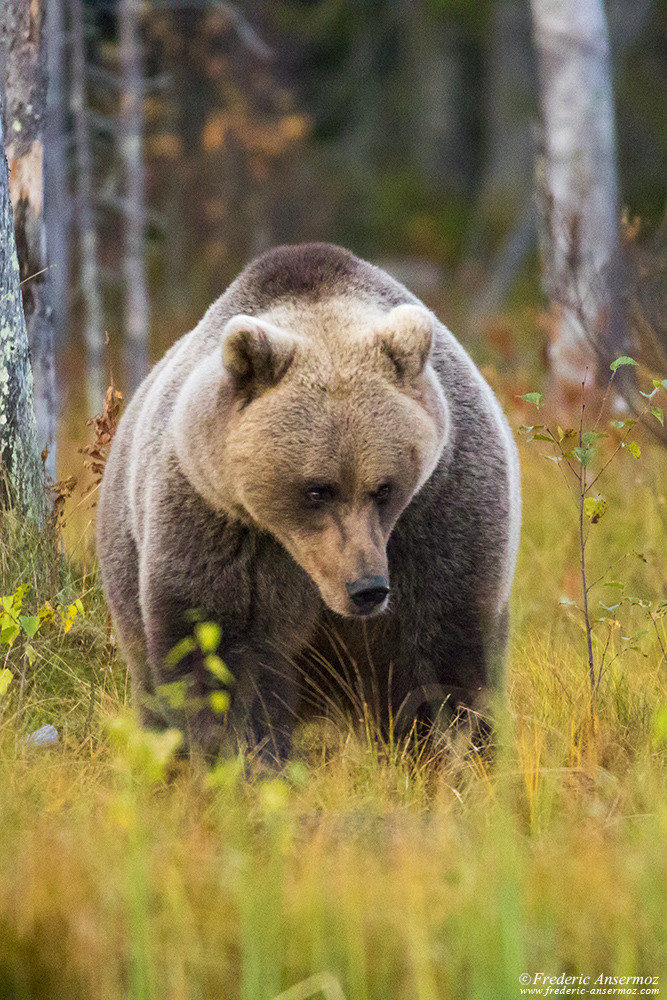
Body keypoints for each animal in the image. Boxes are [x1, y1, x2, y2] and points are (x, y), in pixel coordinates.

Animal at [98, 242, 520, 756]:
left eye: (384, 488)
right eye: (317, 489)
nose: (367, 588)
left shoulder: (440, 504)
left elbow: (442, 647)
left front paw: (450, 749)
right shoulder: (219, 522)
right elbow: (220, 652)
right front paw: (244, 755)